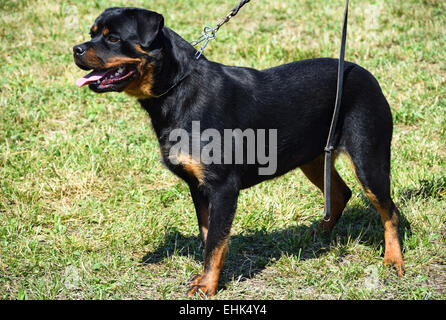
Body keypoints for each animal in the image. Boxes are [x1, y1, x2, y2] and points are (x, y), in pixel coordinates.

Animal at [73, 6, 404, 298]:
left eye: (113, 38)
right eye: (92, 34)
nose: (76, 49)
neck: (177, 92)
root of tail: (364, 72)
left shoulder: (223, 188)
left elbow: (215, 242)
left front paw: (207, 286)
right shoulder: (198, 187)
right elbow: (208, 236)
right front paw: (206, 277)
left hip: (368, 158)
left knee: (390, 210)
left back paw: (393, 260)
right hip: (311, 158)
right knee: (341, 193)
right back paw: (314, 236)